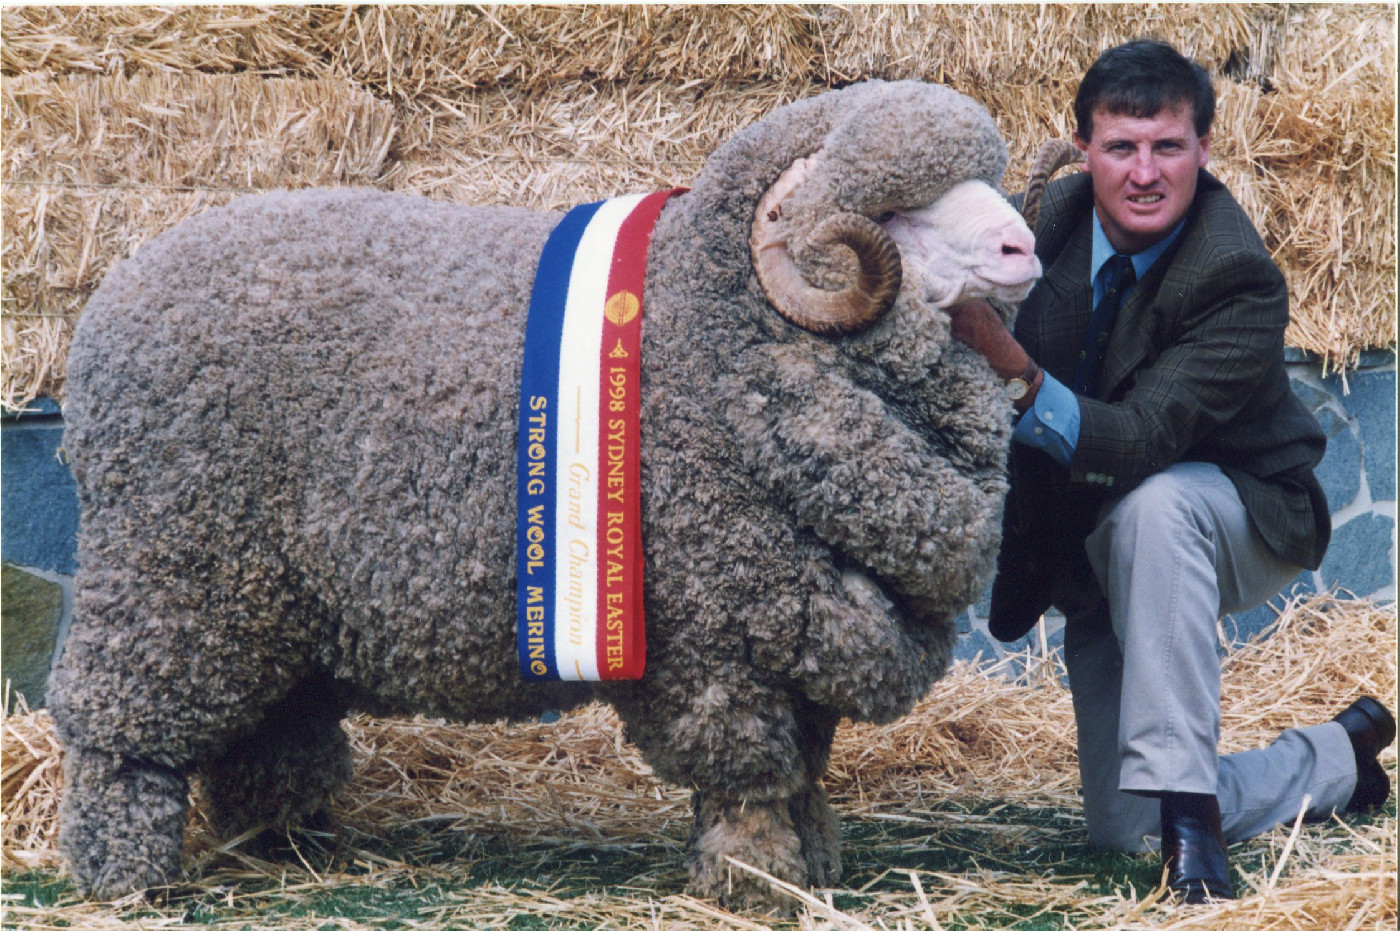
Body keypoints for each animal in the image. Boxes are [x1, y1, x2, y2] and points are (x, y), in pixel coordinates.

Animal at [49, 79, 1062, 910]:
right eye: (901, 212)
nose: (1026, 246)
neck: (710, 335)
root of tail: (109, 304)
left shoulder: (801, 623)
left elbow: (806, 768)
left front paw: (813, 867)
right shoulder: (712, 636)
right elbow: (749, 774)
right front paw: (756, 879)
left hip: (265, 597)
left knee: (267, 729)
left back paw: (281, 846)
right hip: (169, 571)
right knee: (118, 729)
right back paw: (125, 871)